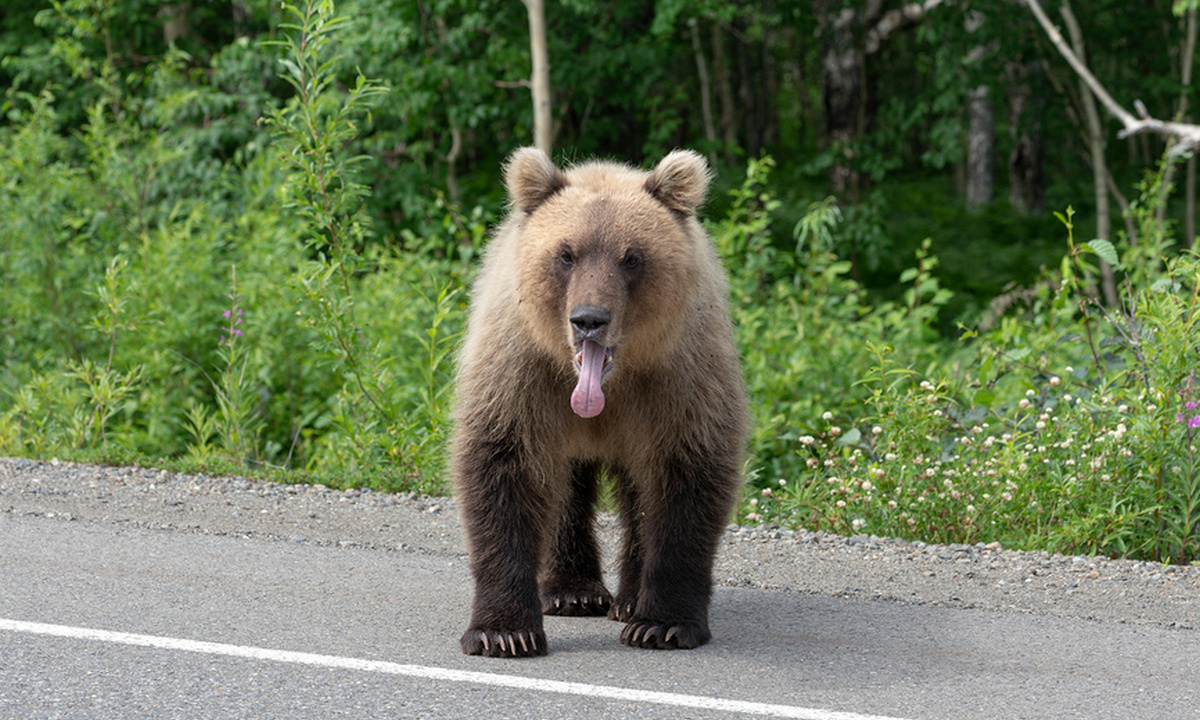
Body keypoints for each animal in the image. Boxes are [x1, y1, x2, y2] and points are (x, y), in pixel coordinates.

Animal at [451, 146, 744, 657]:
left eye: (632, 257)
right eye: (566, 254)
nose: (589, 319)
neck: (608, 385)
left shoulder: (679, 376)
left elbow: (686, 475)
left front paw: (662, 623)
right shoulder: (522, 369)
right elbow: (505, 464)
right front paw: (504, 631)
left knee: (637, 490)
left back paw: (628, 600)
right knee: (565, 485)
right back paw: (572, 591)